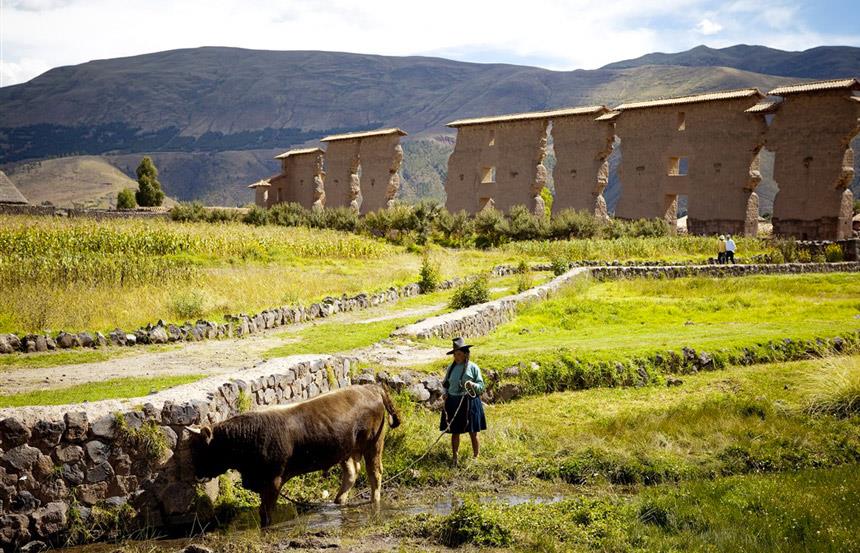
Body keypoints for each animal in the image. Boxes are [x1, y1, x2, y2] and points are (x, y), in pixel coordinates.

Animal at [187, 382, 400, 524]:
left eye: (201, 450)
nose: (196, 473)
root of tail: (370, 387)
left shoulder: (273, 480)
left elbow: (266, 513)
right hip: (347, 448)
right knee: (352, 471)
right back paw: (339, 500)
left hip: (374, 443)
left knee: (375, 473)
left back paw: (374, 501)